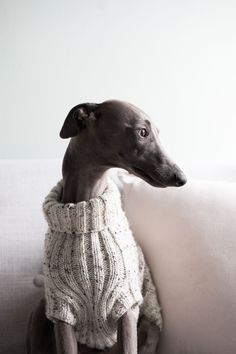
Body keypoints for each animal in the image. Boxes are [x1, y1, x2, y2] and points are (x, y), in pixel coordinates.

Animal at [26, 99, 187, 354]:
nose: (181, 178)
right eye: (143, 132)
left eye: (157, 133)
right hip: (41, 312)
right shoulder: (62, 312)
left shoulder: (125, 307)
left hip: (150, 325)